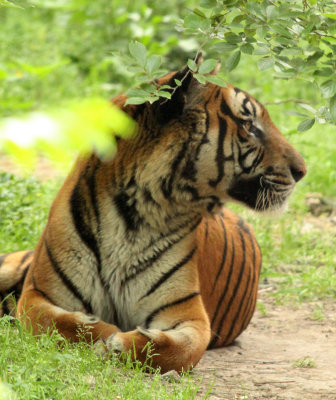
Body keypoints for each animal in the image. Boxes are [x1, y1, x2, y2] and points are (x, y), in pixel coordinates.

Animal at [0, 57, 304, 374]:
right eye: (248, 124)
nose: (302, 171)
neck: (133, 215)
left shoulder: (189, 314)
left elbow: (179, 349)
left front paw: (119, 343)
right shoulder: (38, 293)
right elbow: (54, 321)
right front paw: (103, 333)